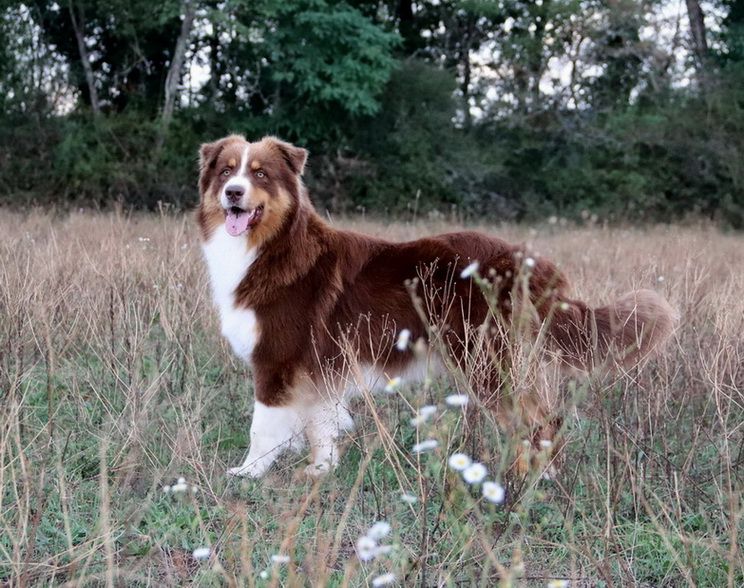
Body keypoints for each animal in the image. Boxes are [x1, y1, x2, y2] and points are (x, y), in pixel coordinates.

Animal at [196, 134, 676, 478]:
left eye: (260, 175)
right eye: (226, 171)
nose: (233, 193)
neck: (272, 246)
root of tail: (527, 259)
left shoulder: (277, 358)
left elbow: (263, 427)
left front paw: (247, 473)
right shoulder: (320, 365)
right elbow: (322, 424)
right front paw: (320, 471)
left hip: (486, 360)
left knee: (537, 421)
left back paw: (524, 484)